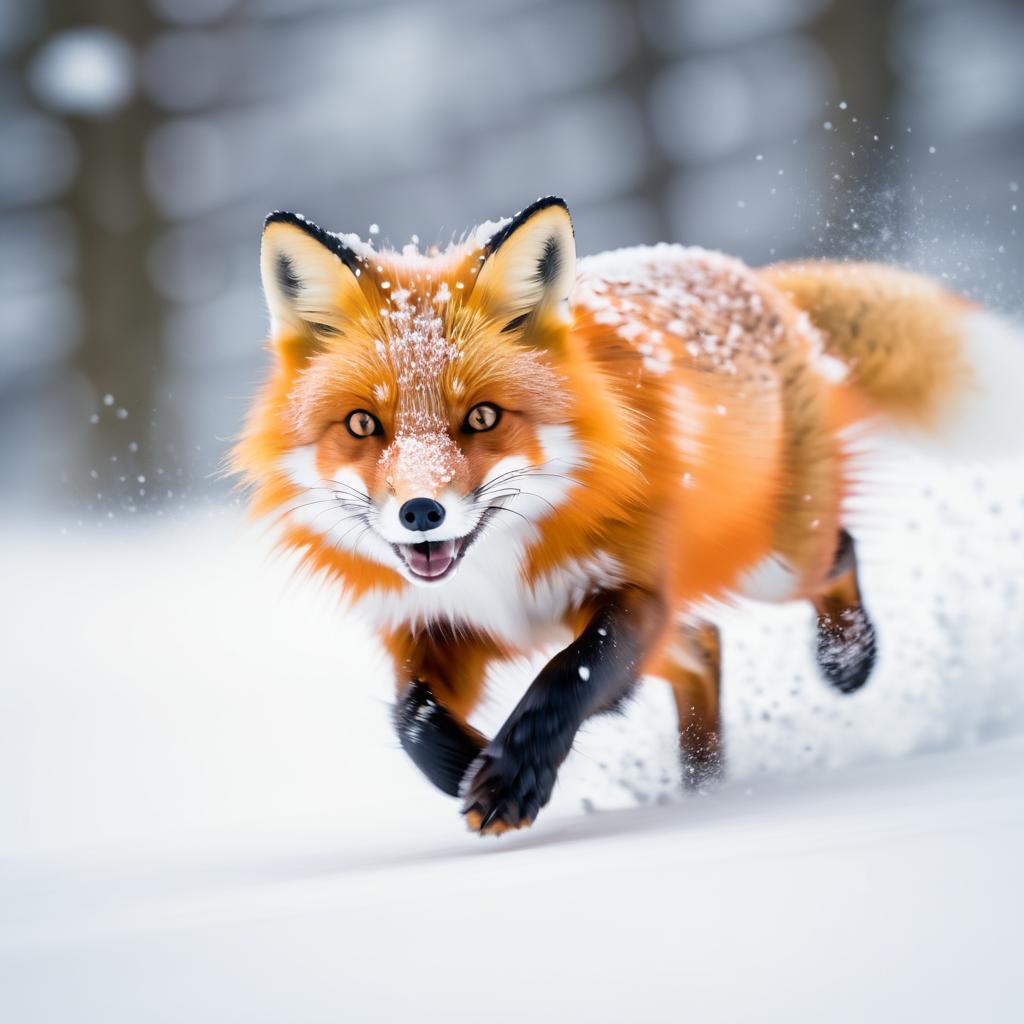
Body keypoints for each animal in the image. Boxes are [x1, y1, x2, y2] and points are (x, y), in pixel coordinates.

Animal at [234, 197, 1024, 831]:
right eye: (363, 425)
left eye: (483, 417)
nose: (420, 512)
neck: (498, 568)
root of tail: (746, 275)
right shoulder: (435, 627)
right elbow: (412, 719)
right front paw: (469, 768)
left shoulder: (637, 589)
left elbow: (565, 679)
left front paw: (513, 776)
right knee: (705, 649)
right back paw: (705, 787)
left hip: (770, 562)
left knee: (837, 555)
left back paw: (848, 659)